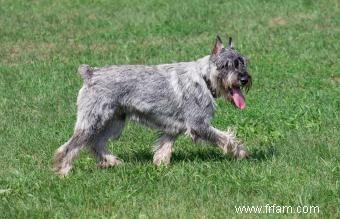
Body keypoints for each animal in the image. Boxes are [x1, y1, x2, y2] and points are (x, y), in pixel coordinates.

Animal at [53, 36, 252, 176]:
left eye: (242, 62)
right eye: (226, 65)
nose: (244, 79)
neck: (204, 78)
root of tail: (90, 74)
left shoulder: (174, 127)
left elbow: (165, 145)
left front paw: (160, 164)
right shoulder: (199, 124)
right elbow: (226, 138)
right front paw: (241, 152)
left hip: (114, 121)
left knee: (96, 143)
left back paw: (112, 162)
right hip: (94, 120)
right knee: (72, 146)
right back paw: (63, 171)